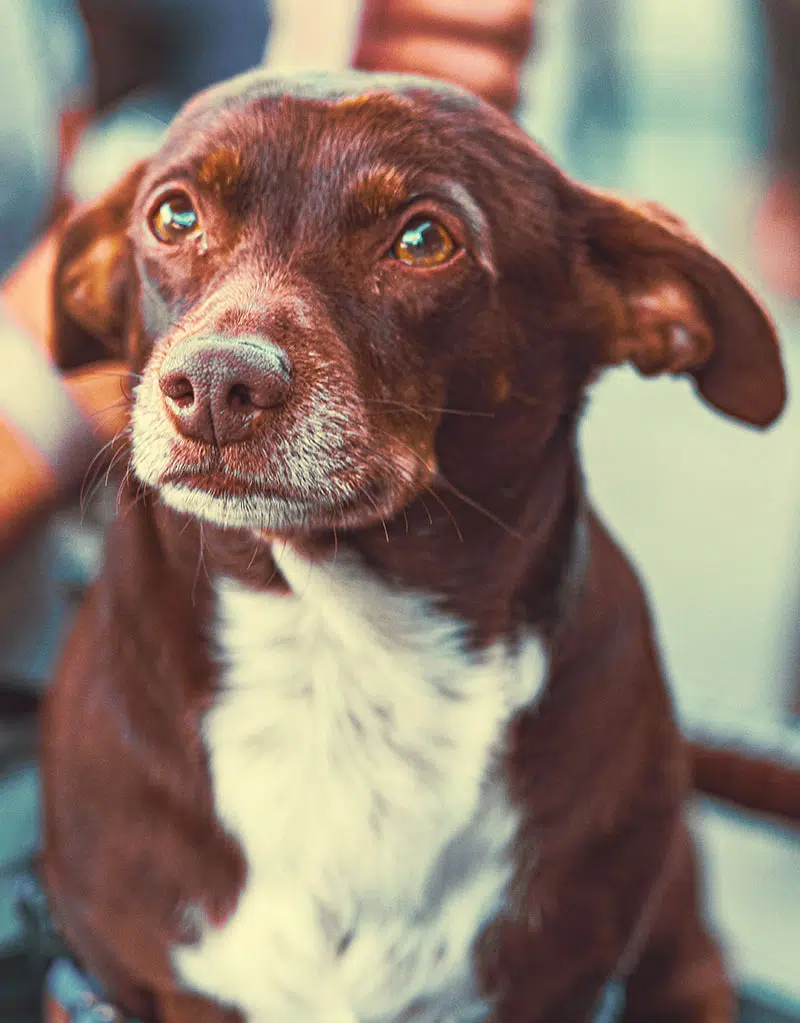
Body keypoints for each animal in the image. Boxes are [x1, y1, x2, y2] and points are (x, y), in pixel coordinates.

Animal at [40, 72, 785, 1023]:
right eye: (173, 216)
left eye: (425, 239)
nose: (212, 381)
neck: (339, 653)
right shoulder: (111, 980)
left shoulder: (561, 982)